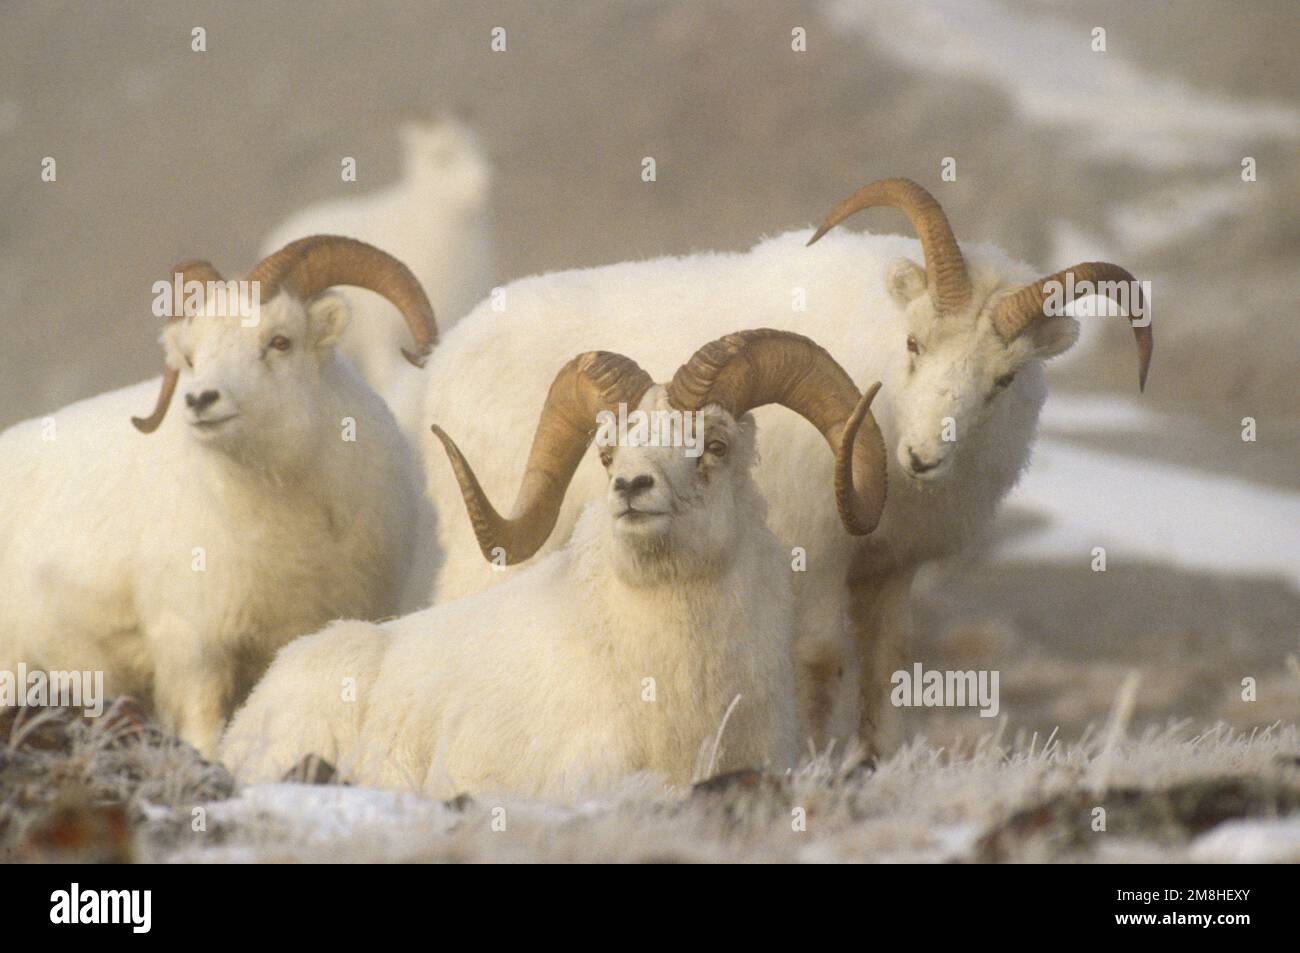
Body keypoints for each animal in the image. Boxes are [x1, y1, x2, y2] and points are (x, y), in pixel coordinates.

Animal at [416, 178, 1154, 756]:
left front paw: (873, 766)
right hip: (492, 560)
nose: (921, 457)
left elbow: (886, 669)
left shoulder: (890, 569)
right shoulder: (815, 557)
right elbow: (821, 661)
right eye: (914, 343)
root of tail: (448, 355)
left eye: (1005, 377)